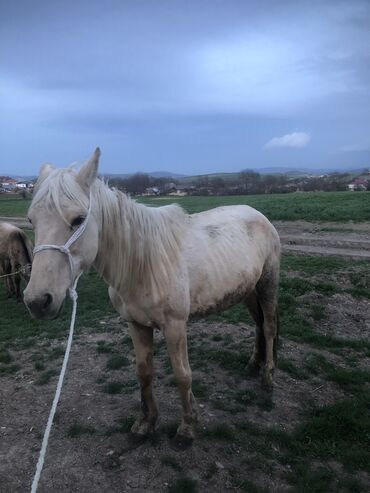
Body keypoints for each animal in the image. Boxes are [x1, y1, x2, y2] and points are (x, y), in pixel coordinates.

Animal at [23, 148, 280, 444]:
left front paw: (187, 426)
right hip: (248, 291)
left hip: (267, 285)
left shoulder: (175, 326)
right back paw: (254, 364)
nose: (38, 301)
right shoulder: (136, 325)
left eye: (77, 219)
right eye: (31, 220)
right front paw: (146, 422)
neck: (144, 264)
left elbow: (182, 375)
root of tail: (259, 215)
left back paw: (268, 376)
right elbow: (144, 373)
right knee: (258, 324)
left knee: (269, 326)